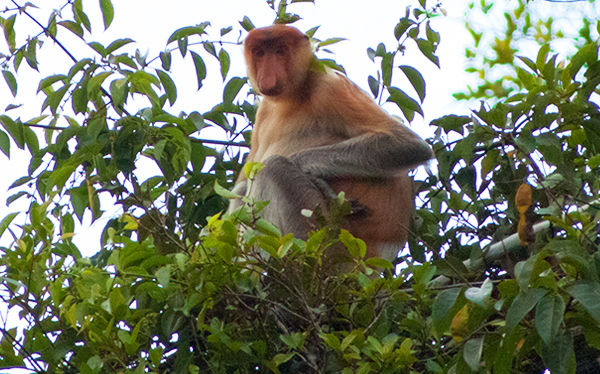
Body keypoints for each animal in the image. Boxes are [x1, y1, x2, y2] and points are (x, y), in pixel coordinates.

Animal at [229, 24, 432, 262]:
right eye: (260, 53)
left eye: (280, 51)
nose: (268, 76)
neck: (294, 93)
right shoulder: (264, 109)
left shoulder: (330, 87)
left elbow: (408, 145)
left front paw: (309, 173)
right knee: (244, 186)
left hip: (324, 238)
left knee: (273, 168)